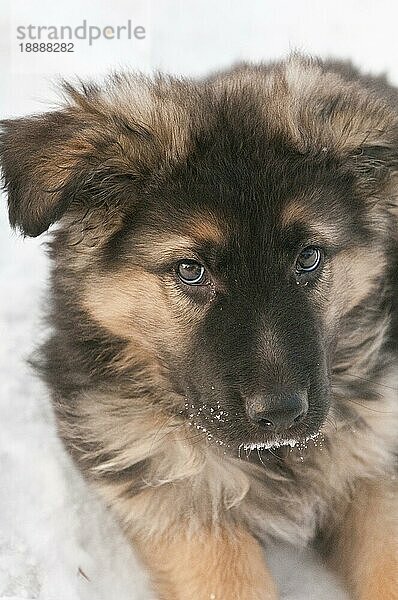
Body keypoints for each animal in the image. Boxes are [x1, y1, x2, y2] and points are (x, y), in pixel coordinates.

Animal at [0, 55, 398, 596]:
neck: (274, 456)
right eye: (191, 270)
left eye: (308, 258)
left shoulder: (377, 459)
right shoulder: (177, 495)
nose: (281, 414)